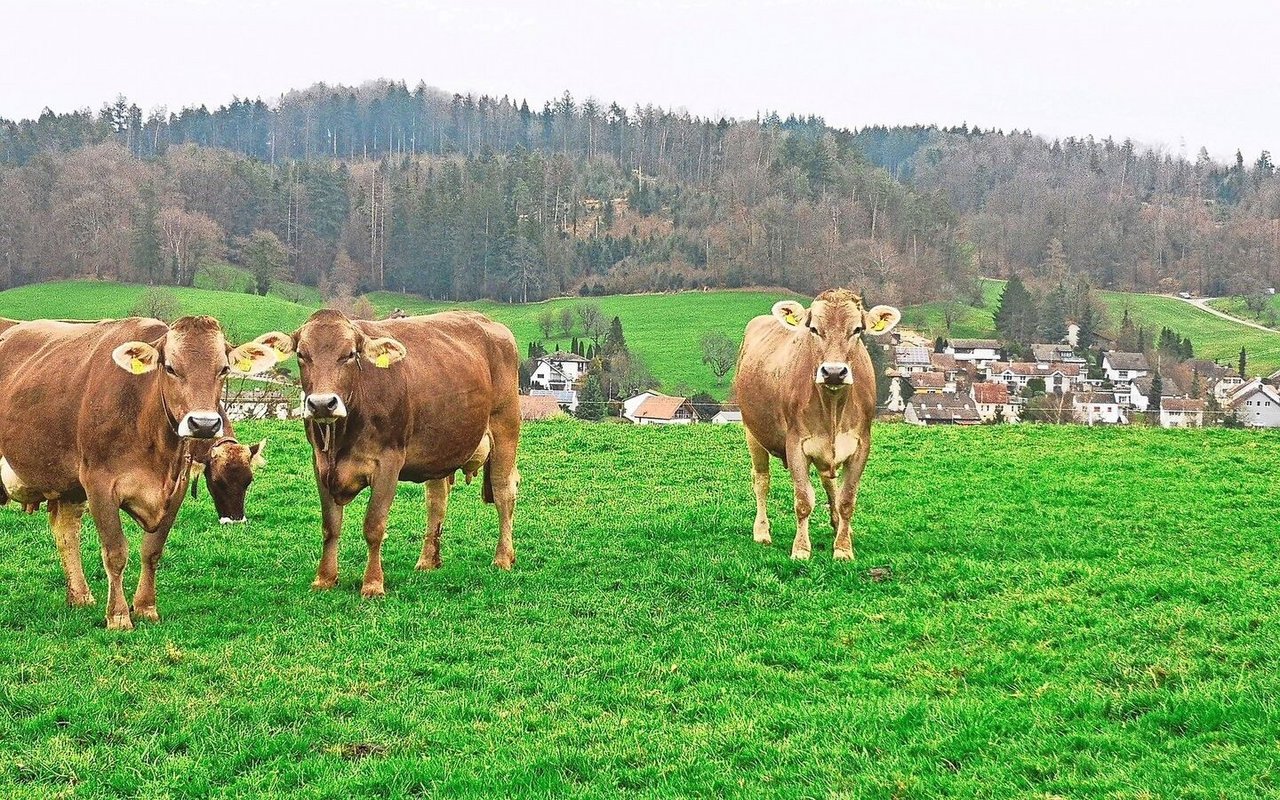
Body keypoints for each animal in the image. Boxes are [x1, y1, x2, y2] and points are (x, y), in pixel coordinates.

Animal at [0, 314, 279, 627]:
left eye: (224, 369)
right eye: (170, 368)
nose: (204, 424)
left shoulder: (176, 487)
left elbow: (152, 550)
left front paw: (146, 607)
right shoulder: (99, 484)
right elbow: (115, 553)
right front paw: (119, 616)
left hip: (66, 484)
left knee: (66, 533)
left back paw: (80, 596)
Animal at [254, 308, 519, 596]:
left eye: (350, 354)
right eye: (302, 355)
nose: (323, 404)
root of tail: (488, 322)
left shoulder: (387, 463)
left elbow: (374, 526)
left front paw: (373, 584)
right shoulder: (320, 464)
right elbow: (330, 526)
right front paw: (324, 578)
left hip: (505, 428)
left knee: (504, 492)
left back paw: (503, 558)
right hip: (440, 448)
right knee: (437, 500)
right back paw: (428, 561)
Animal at [732, 290, 901, 558]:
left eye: (857, 329)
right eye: (813, 328)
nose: (833, 372)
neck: (832, 407)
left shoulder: (861, 445)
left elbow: (846, 500)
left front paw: (843, 548)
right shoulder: (795, 444)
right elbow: (803, 500)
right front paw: (801, 549)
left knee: (828, 483)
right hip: (752, 431)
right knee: (761, 481)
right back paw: (761, 532)